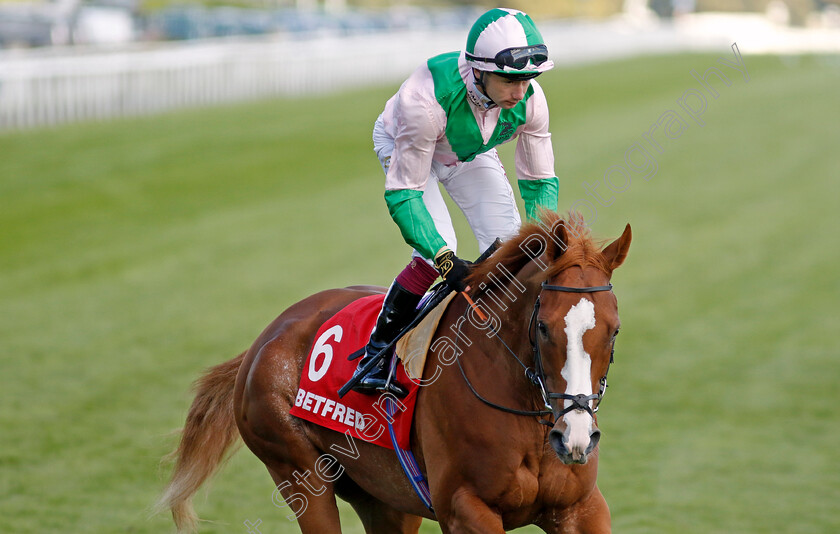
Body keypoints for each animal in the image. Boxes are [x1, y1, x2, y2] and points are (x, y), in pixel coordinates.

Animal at [156, 211, 632, 532]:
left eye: (613, 329)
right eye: (544, 327)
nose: (574, 436)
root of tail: (263, 340)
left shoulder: (580, 507)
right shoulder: (465, 509)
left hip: (384, 498)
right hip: (298, 473)